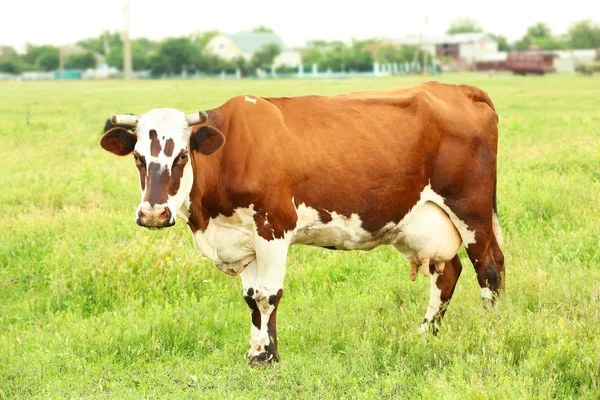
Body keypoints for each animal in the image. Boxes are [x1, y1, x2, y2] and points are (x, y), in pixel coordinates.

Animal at [101, 81, 504, 366]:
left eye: (182, 155)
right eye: (138, 157)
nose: (153, 213)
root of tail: (458, 90)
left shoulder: (273, 227)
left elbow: (267, 296)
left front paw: (267, 358)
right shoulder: (243, 239)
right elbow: (250, 299)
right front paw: (256, 352)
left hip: (471, 210)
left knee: (488, 266)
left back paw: (490, 334)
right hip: (426, 221)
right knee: (447, 271)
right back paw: (423, 334)